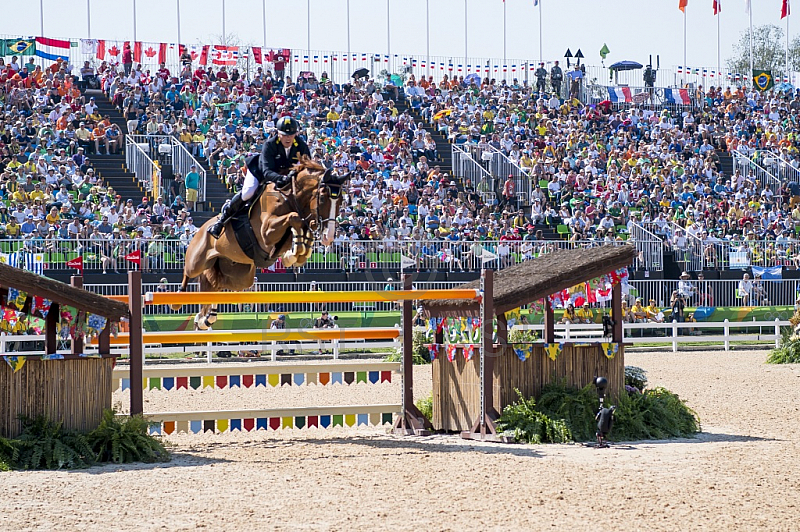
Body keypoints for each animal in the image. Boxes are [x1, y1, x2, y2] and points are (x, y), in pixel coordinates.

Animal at [180, 156, 348, 326]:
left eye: (341, 200)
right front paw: (294, 253)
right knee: (188, 272)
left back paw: (206, 318)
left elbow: (303, 228)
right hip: (197, 261)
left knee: (219, 284)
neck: (290, 198)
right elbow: (294, 217)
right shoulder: (266, 232)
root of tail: (201, 229)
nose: (329, 237)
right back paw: (181, 299)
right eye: (322, 198)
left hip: (241, 276)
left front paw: (296, 252)